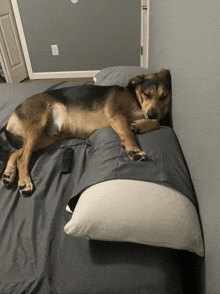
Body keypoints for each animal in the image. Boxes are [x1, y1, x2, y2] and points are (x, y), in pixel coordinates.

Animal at [2, 68, 172, 194]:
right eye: (147, 94)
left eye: (164, 97)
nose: (151, 114)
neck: (135, 99)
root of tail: (14, 113)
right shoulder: (116, 116)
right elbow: (128, 133)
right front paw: (134, 150)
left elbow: (156, 122)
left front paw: (141, 125)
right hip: (37, 126)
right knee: (23, 158)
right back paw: (24, 182)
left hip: (46, 138)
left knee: (16, 154)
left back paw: (8, 174)